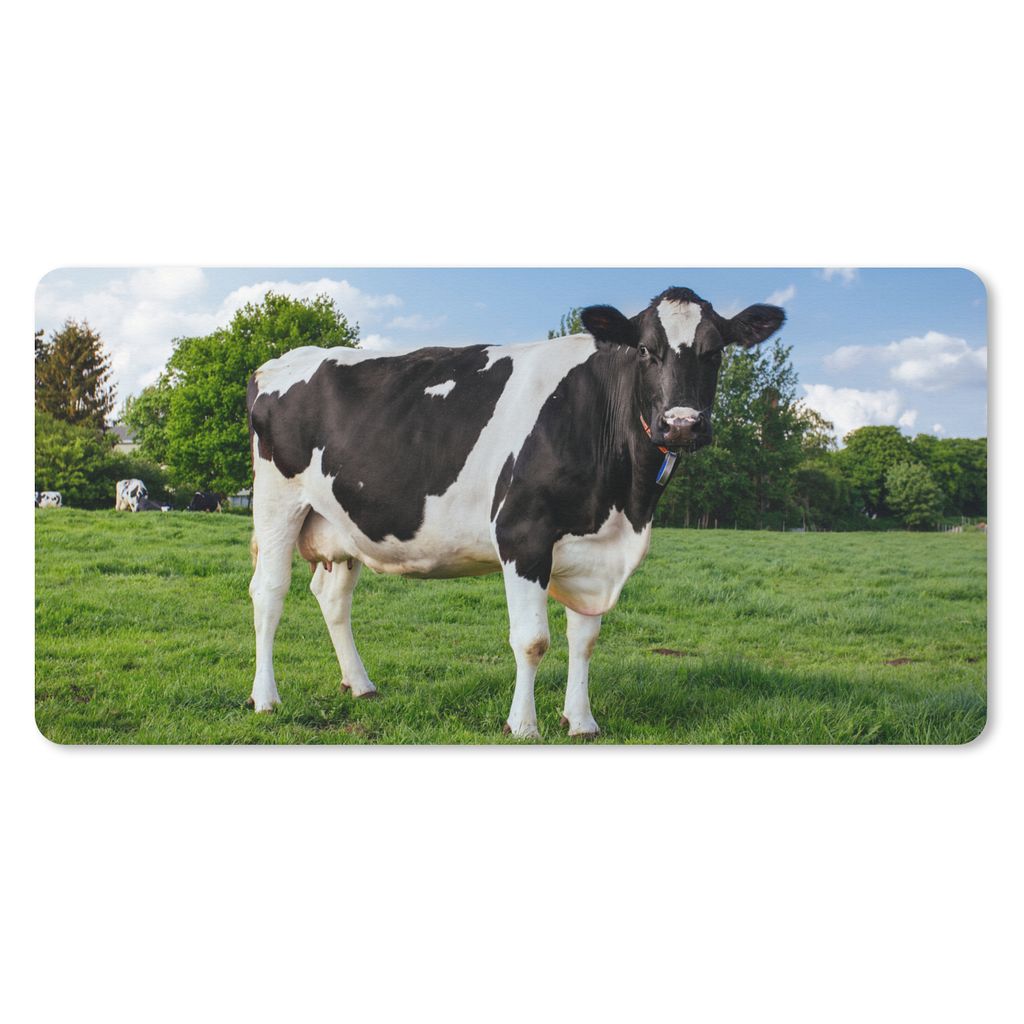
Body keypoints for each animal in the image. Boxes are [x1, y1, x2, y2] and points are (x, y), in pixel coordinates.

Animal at [246, 287, 785, 737]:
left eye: (715, 351)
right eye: (646, 350)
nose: (682, 424)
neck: (623, 508)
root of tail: (281, 360)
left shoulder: (590, 550)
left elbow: (584, 638)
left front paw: (581, 721)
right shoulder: (522, 535)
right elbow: (532, 640)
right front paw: (523, 725)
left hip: (342, 523)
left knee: (332, 598)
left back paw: (360, 684)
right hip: (277, 502)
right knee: (269, 592)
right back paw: (265, 698)